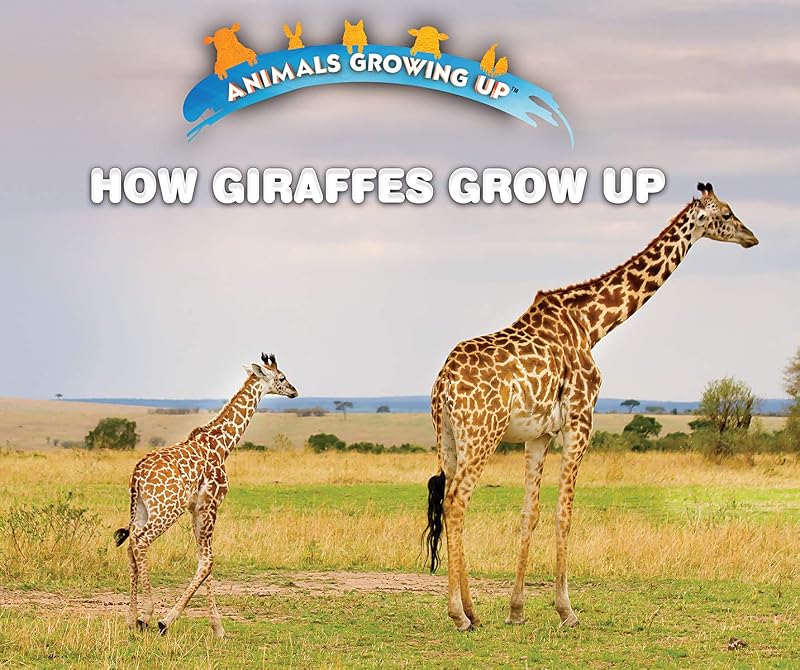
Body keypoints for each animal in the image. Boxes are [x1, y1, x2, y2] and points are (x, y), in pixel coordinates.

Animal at [113, 353, 298, 638]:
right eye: (281, 377)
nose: (294, 391)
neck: (222, 445)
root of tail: (136, 476)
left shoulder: (196, 508)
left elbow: (205, 559)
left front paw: (217, 627)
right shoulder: (211, 504)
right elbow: (209, 560)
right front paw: (168, 621)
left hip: (142, 509)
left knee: (132, 543)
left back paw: (131, 619)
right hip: (167, 508)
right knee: (141, 542)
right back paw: (146, 614)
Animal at [423, 182, 758, 631]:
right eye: (725, 213)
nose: (751, 237)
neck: (591, 324)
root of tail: (443, 383)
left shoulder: (539, 436)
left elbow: (530, 513)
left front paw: (516, 610)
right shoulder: (581, 422)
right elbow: (565, 512)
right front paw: (566, 609)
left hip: (447, 436)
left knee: (447, 500)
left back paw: (471, 611)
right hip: (483, 433)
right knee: (458, 500)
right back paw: (460, 614)